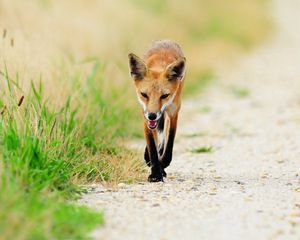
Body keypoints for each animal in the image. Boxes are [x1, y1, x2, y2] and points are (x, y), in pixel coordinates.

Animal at [128, 39, 186, 182]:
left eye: (164, 96)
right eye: (144, 94)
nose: (152, 115)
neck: (160, 64)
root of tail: (166, 40)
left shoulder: (173, 112)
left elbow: (169, 143)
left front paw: (162, 165)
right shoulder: (144, 115)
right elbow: (152, 147)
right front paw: (155, 173)